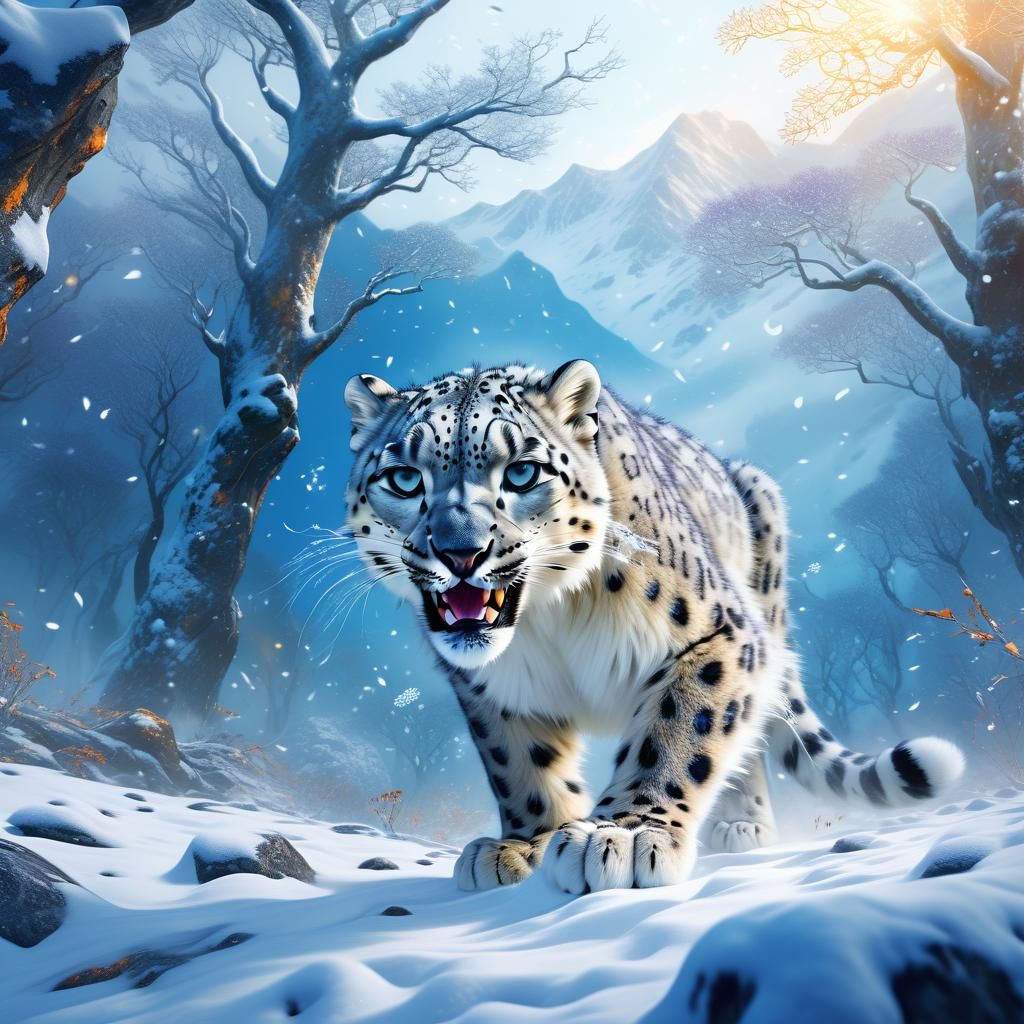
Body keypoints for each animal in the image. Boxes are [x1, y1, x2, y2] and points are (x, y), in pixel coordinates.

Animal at [343, 359, 965, 893]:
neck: (548, 621)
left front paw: (622, 834)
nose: (460, 553)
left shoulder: (720, 635)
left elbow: (678, 728)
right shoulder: (488, 687)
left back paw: (743, 825)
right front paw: (524, 845)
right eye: (404, 479)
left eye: (521, 472)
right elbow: (520, 764)